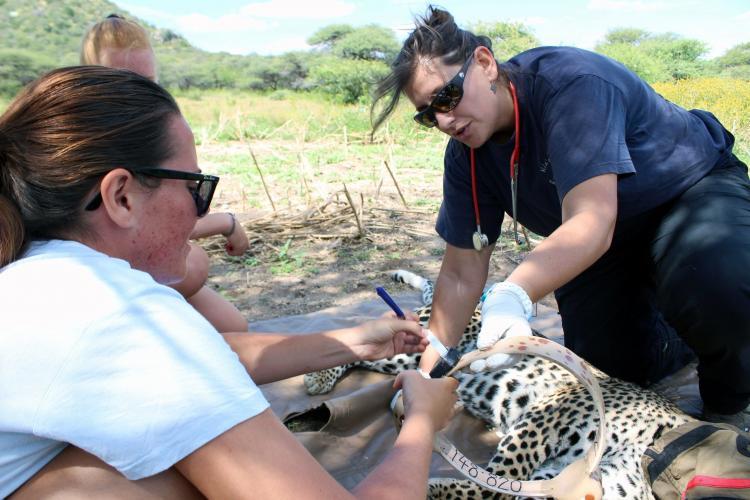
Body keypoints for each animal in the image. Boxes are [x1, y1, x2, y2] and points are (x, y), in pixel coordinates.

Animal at [303, 270, 695, 499]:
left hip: (410, 358)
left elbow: (509, 489)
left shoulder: (556, 475)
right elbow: (498, 481)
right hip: (428, 335)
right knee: (364, 344)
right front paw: (432, 487)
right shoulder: (545, 417)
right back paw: (317, 376)